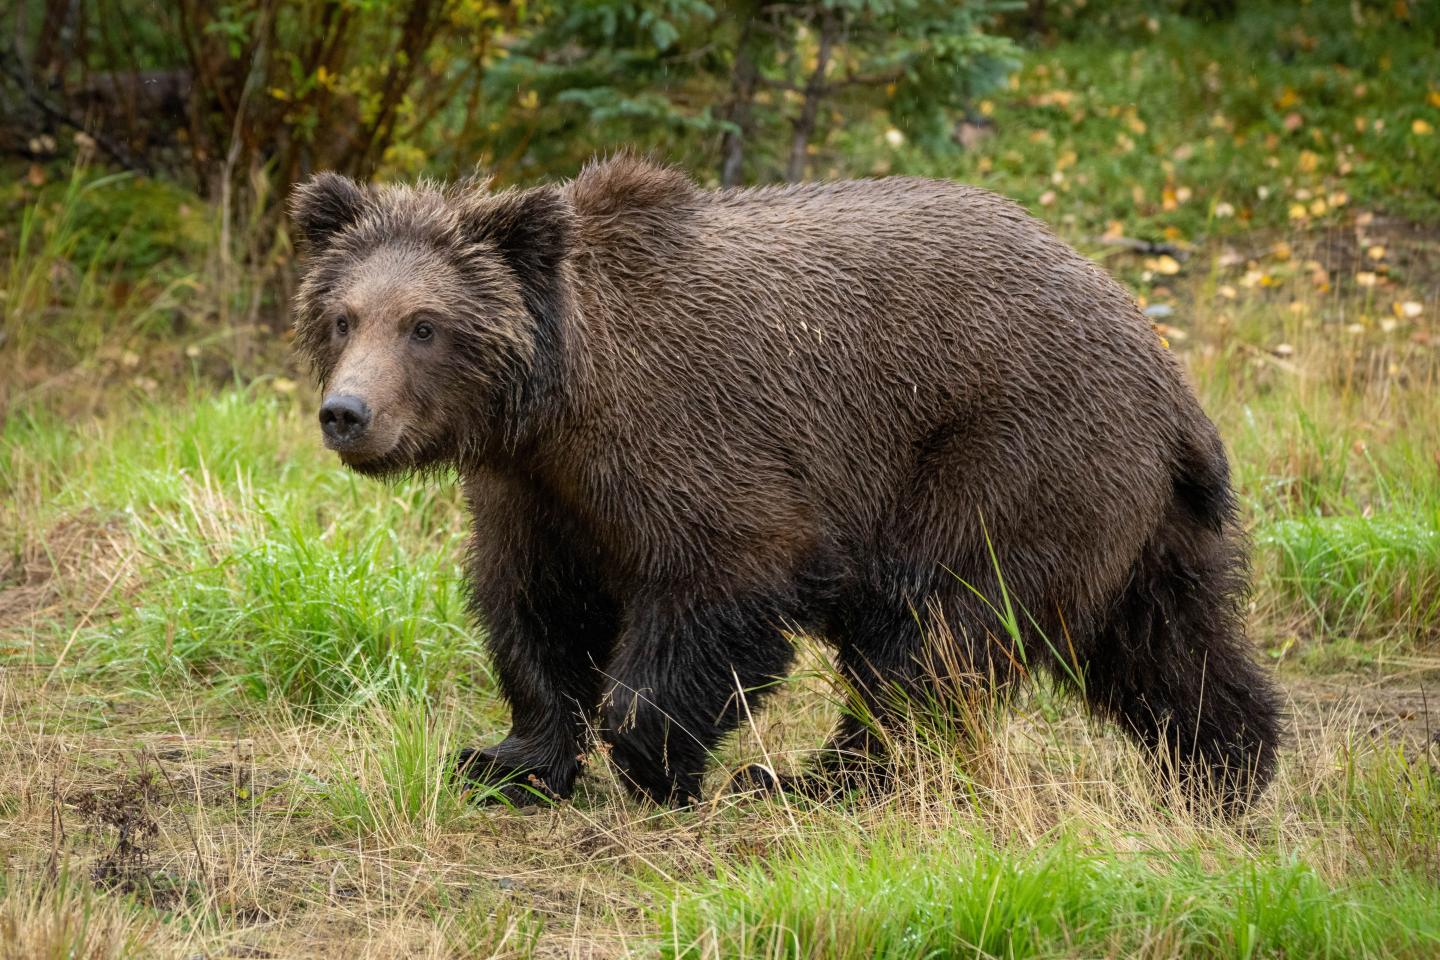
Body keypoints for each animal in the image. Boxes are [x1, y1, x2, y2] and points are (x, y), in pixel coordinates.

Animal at [289, 156, 1284, 811]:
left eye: (424, 324)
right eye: (343, 315)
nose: (347, 413)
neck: (556, 402)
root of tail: (1166, 373)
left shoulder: (691, 448)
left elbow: (718, 586)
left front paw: (658, 761)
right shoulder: (536, 494)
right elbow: (535, 611)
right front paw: (507, 759)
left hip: (1009, 458)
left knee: (933, 635)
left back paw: (817, 778)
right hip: (1135, 509)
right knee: (1166, 638)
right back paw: (1225, 769)